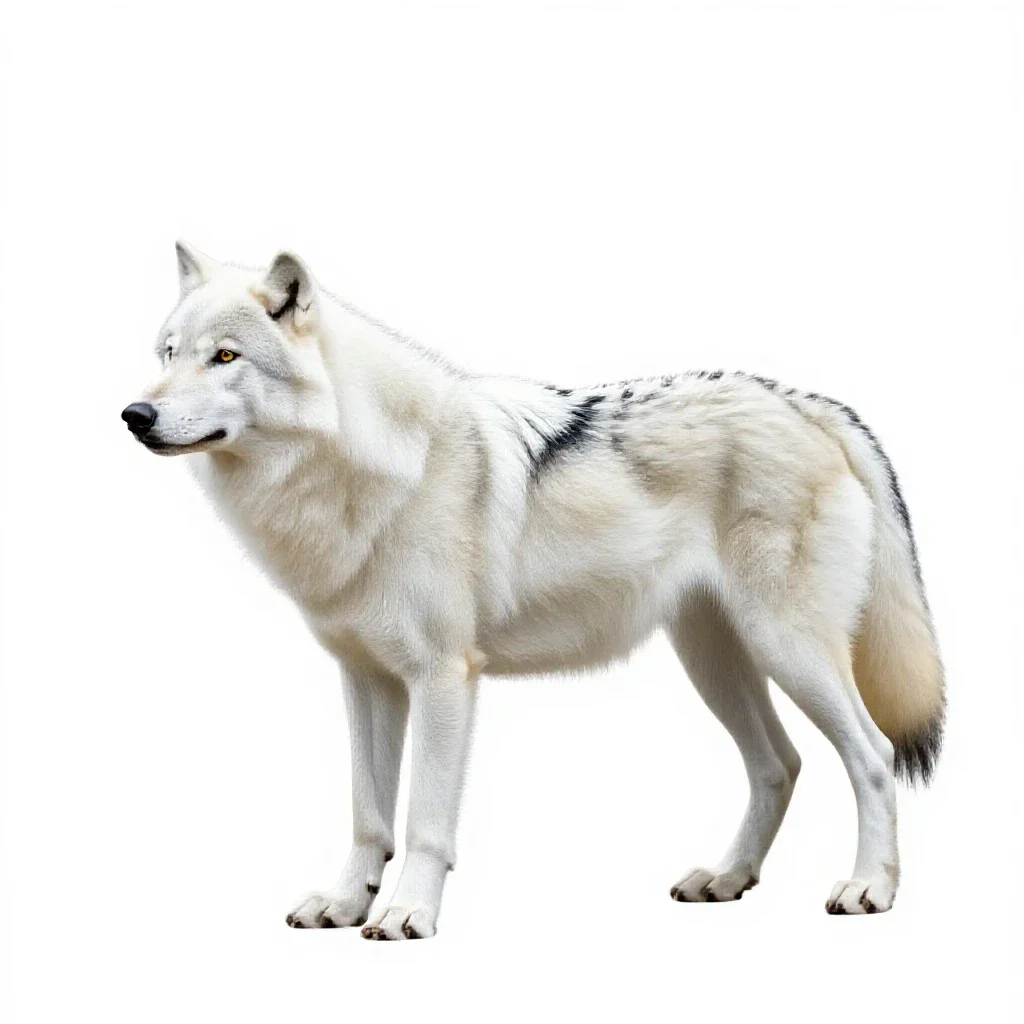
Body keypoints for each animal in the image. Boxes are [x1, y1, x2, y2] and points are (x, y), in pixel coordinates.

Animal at [122, 242, 944, 939]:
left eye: (225, 356)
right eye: (168, 354)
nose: (135, 414)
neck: (369, 473)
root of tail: (804, 400)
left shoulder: (444, 679)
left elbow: (422, 821)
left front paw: (407, 914)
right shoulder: (366, 679)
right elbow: (367, 815)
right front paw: (346, 904)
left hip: (789, 651)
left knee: (870, 754)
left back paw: (870, 888)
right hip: (716, 663)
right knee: (780, 765)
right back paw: (726, 878)